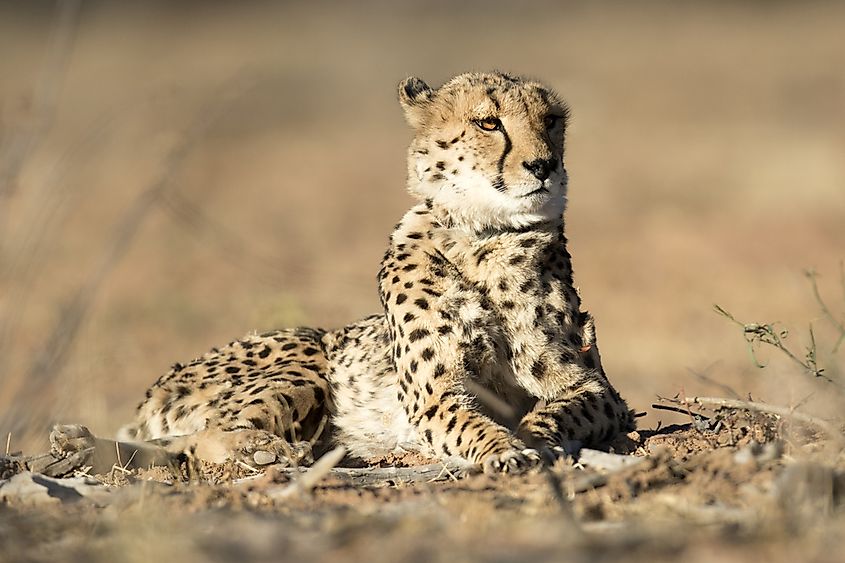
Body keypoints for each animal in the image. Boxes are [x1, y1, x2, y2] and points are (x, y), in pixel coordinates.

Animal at [50, 72, 635, 476]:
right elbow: (469, 421)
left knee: (170, 447)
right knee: (206, 437)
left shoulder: (595, 386)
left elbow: (561, 409)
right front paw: (505, 450)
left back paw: (81, 444)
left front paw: (533, 437)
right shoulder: (433, 393)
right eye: (488, 122)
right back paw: (262, 450)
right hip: (302, 361)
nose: (543, 165)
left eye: (552, 121)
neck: (483, 239)